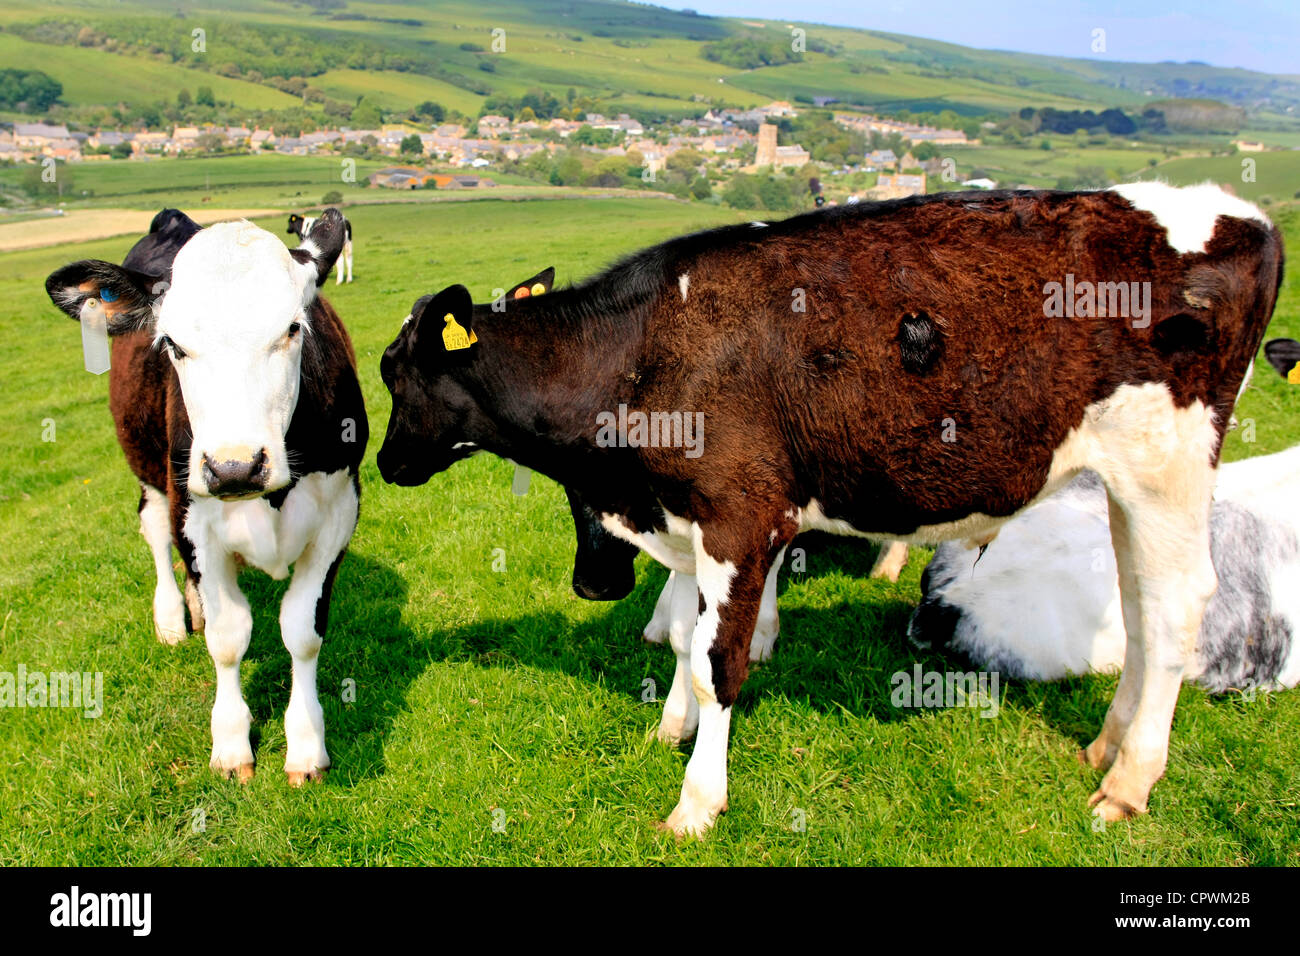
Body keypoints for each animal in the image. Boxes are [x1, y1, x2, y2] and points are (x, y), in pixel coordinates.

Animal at [45, 207, 368, 786]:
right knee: (153, 531)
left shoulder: (339, 512)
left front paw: (307, 746)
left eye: (293, 329)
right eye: (172, 344)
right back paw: (174, 618)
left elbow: (302, 631)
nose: (234, 466)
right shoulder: (193, 518)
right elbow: (228, 636)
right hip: (153, 476)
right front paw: (232, 744)